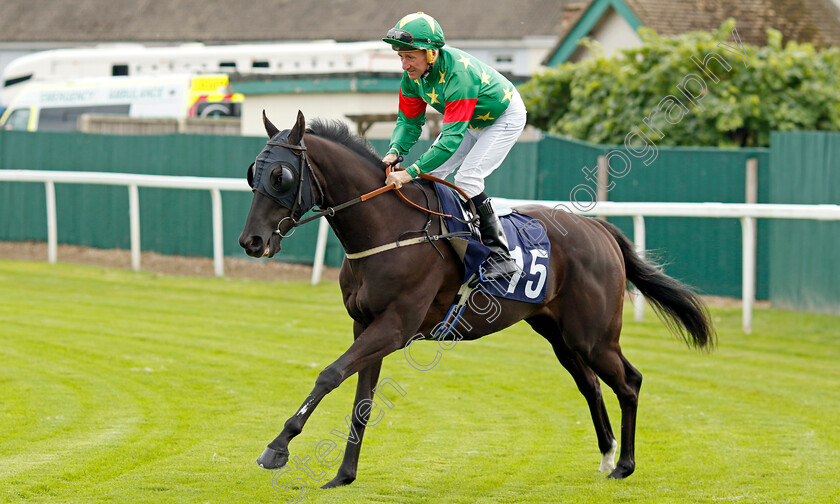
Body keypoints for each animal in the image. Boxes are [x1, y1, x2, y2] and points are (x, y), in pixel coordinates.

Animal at [238, 110, 716, 488]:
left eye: (281, 176)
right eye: (252, 173)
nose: (251, 241)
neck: (386, 229)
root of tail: (599, 228)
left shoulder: (394, 326)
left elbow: (330, 374)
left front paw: (277, 448)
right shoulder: (365, 325)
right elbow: (362, 403)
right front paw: (343, 475)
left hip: (593, 334)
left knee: (629, 381)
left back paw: (625, 465)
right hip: (559, 334)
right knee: (591, 385)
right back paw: (607, 455)